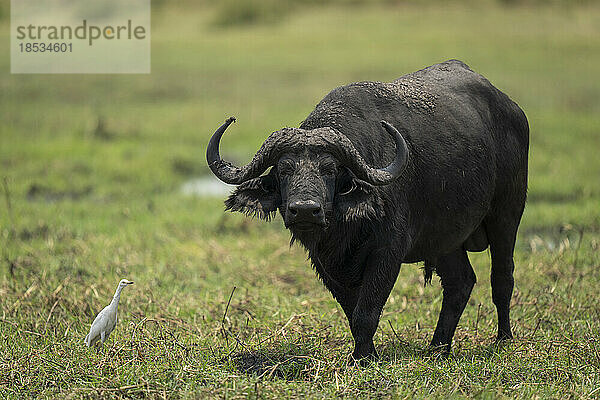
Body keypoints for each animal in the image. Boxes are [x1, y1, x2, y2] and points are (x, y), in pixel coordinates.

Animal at [207, 60, 528, 362]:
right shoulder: (324, 263)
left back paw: (503, 339)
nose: (305, 211)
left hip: (507, 215)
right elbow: (353, 311)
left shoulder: (389, 251)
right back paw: (438, 348)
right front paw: (365, 352)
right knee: (460, 283)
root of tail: (512, 110)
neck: (346, 226)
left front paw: (363, 358)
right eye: (284, 169)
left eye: (330, 169)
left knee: (502, 277)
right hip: (446, 239)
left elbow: (368, 309)